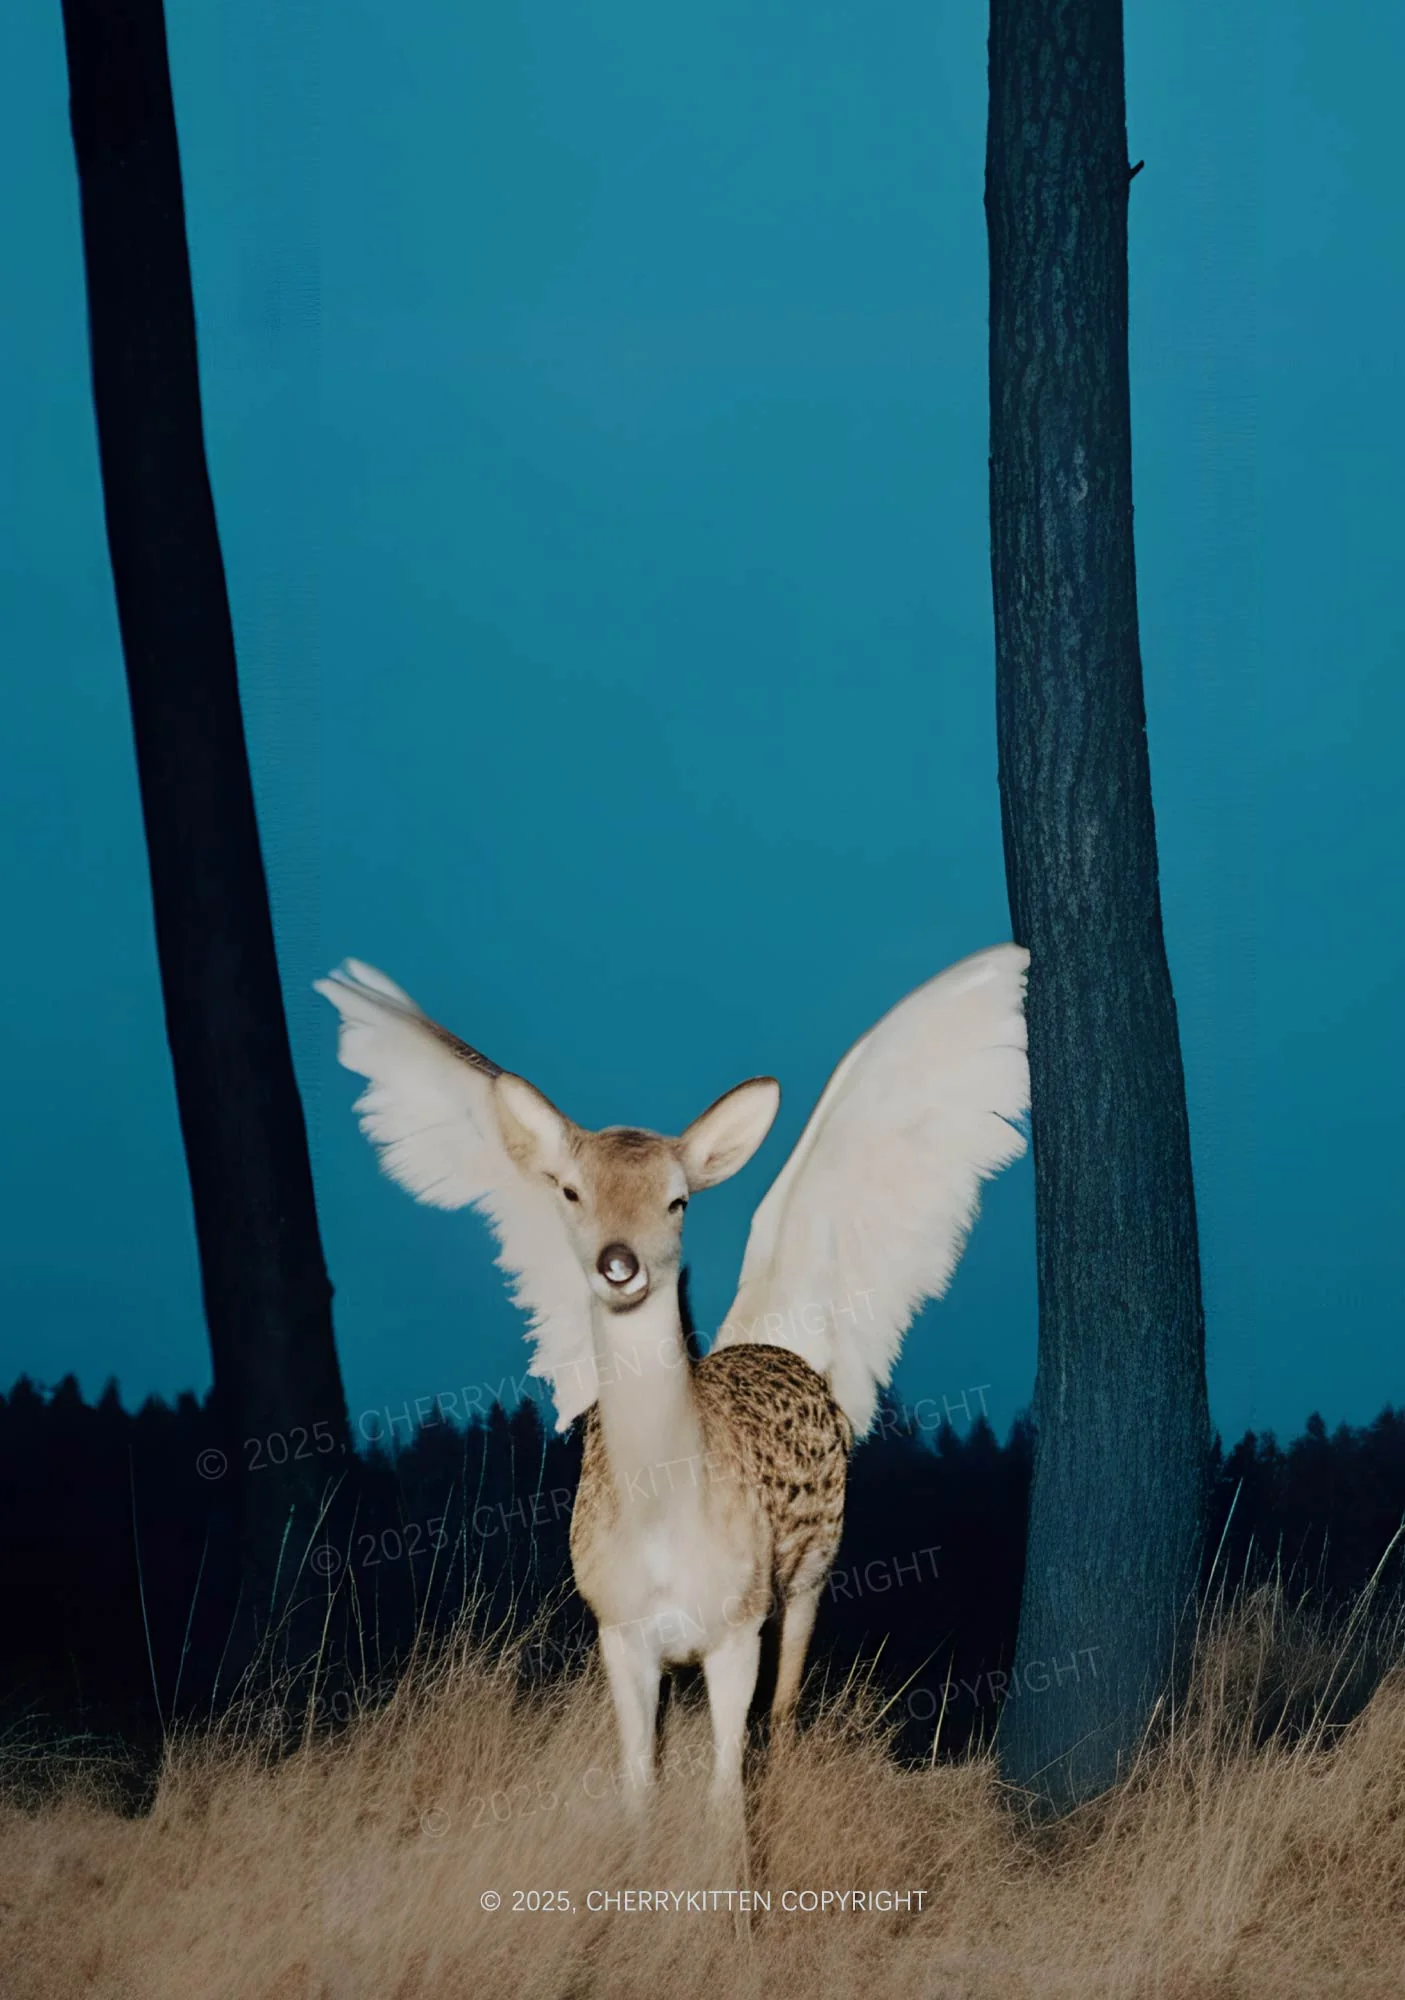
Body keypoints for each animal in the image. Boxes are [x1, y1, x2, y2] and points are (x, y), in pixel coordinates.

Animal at [316, 942, 1029, 1821]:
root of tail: (774, 1346)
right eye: (570, 1191)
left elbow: (726, 1798)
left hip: (810, 1572)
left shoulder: (734, 1630)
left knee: (784, 1714)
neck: (661, 1526)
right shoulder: (618, 1635)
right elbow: (639, 1785)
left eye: (678, 1199)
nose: (617, 1263)